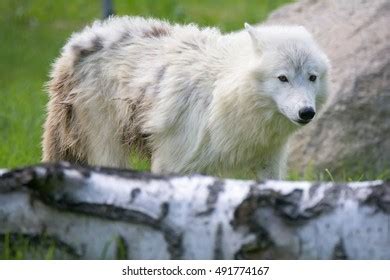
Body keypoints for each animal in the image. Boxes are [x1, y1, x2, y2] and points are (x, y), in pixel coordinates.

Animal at [42, 17, 330, 179]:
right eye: (283, 78)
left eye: (312, 77)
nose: (306, 112)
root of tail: (74, 46)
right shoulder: (173, 164)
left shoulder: (268, 164)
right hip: (106, 148)